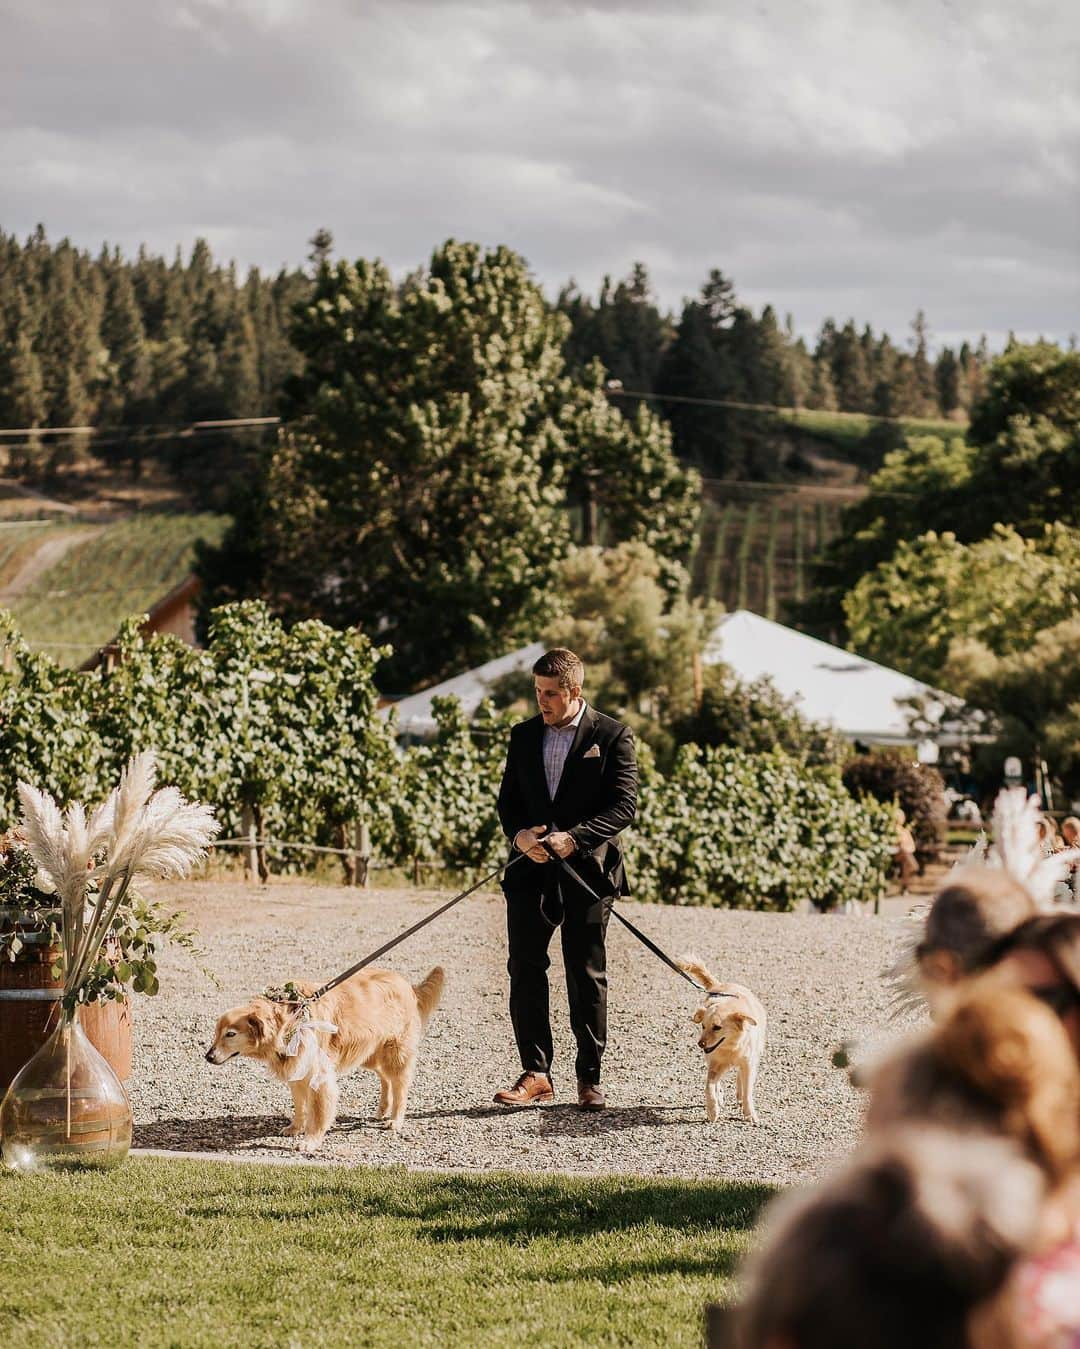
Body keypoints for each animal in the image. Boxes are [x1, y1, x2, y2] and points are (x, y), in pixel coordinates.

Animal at [204, 965, 444, 1154]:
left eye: (231, 1034)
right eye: (216, 1033)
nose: (208, 1057)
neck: (291, 1019)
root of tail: (408, 985)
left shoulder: (319, 1077)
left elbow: (319, 1112)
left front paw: (310, 1141)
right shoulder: (297, 1072)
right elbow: (300, 1106)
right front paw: (295, 1127)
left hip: (395, 1053)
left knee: (400, 1085)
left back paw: (395, 1119)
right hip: (370, 1053)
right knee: (385, 1078)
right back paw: (382, 1110)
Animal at [682, 960, 765, 1127]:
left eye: (717, 1027)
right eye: (703, 1026)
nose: (700, 1044)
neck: (730, 1048)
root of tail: (720, 986)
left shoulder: (749, 1063)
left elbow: (747, 1090)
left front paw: (749, 1114)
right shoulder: (715, 1064)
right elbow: (709, 1086)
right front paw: (712, 1110)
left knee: (740, 1077)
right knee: (717, 1082)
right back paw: (719, 1098)